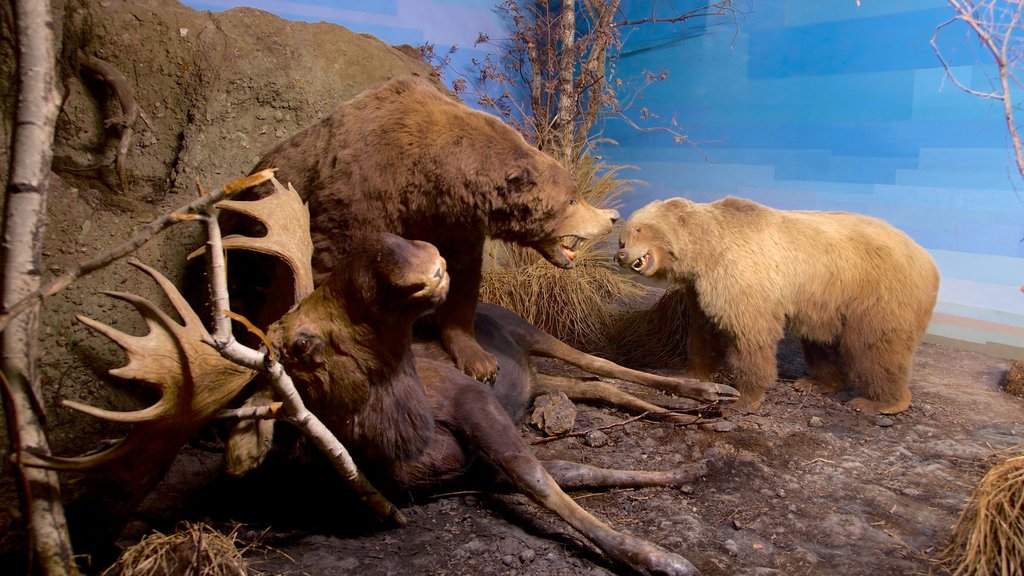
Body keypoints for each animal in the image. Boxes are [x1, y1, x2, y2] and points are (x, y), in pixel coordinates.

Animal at [610, 196, 937, 412]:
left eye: (639, 229)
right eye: (622, 239)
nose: (621, 255)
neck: (706, 251)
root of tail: (928, 260)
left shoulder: (741, 275)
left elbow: (750, 334)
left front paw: (744, 397)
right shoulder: (702, 286)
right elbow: (705, 330)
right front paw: (695, 376)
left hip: (878, 292)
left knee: (874, 345)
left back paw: (880, 402)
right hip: (828, 302)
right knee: (822, 342)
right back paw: (817, 383)